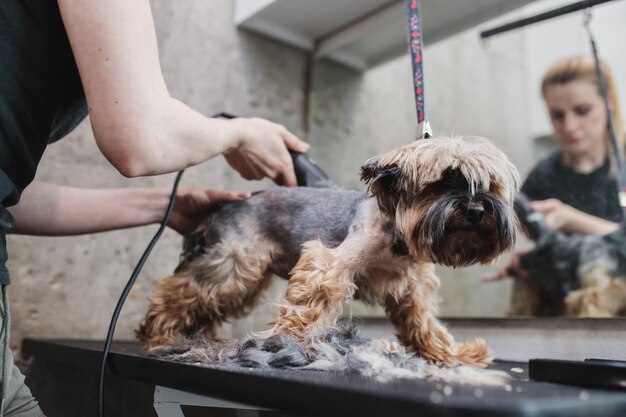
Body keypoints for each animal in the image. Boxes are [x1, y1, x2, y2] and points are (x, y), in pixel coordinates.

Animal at [138, 136, 520, 364]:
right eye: (443, 181)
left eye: (490, 186)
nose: (476, 209)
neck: (398, 236)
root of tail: (219, 209)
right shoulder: (329, 263)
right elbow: (308, 304)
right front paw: (287, 340)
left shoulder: (413, 291)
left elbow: (424, 323)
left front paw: (451, 354)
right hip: (233, 268)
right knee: (178, 291)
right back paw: (160, 334)